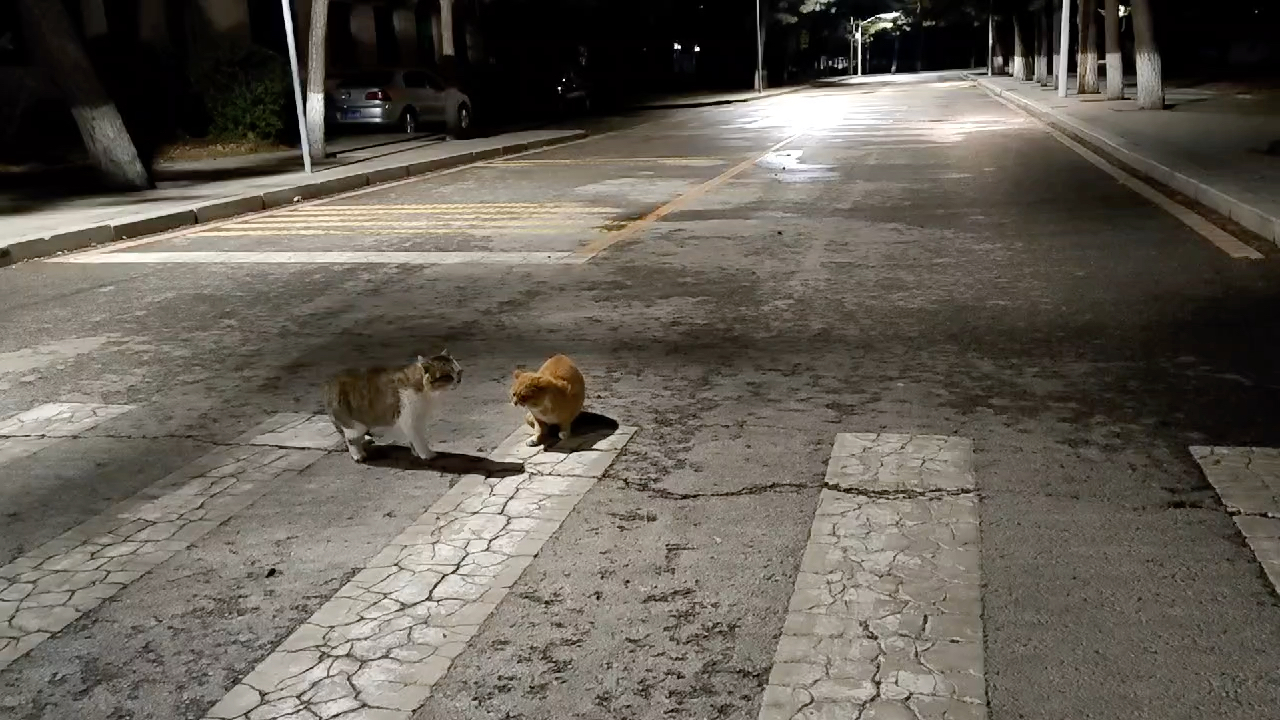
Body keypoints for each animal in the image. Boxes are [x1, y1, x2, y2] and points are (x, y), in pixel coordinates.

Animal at [322, 348, 463, 458]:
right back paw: (358, 455)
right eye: (448, 377)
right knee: (351, 439)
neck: (428, 393)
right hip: (354, 424)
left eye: (459, 372)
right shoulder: (410, 420)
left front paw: (415, 452)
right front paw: (427, 454)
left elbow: (413, 439)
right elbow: (419, 439)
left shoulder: (418, 418)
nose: (458, 380)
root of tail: (331, 382)